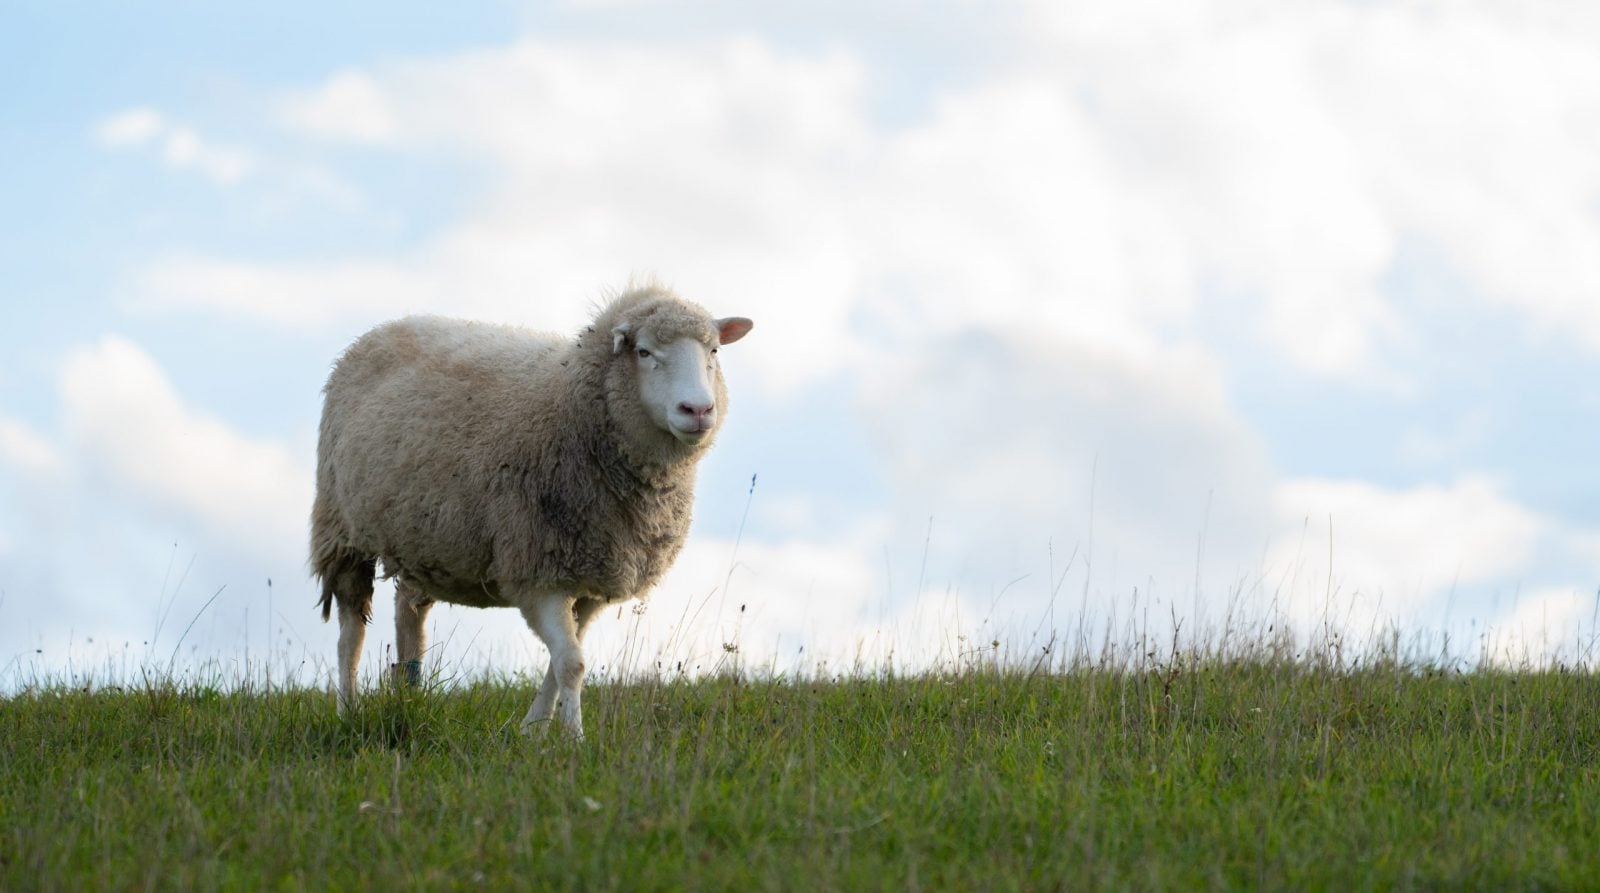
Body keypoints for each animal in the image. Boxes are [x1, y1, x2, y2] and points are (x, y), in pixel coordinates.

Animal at [310, 283, 753, 739]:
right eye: (644, 351)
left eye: (714, 350)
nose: (698, 410)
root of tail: (386, 327)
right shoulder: (539, 571)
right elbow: (572, 663)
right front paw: (573, 738)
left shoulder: (592, 579)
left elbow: (561, 662)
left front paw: (532, 731)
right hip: (340, 527)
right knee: (350, 634)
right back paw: (348, 711)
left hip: (423, 538)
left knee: (409, 614)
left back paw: (408, 697)